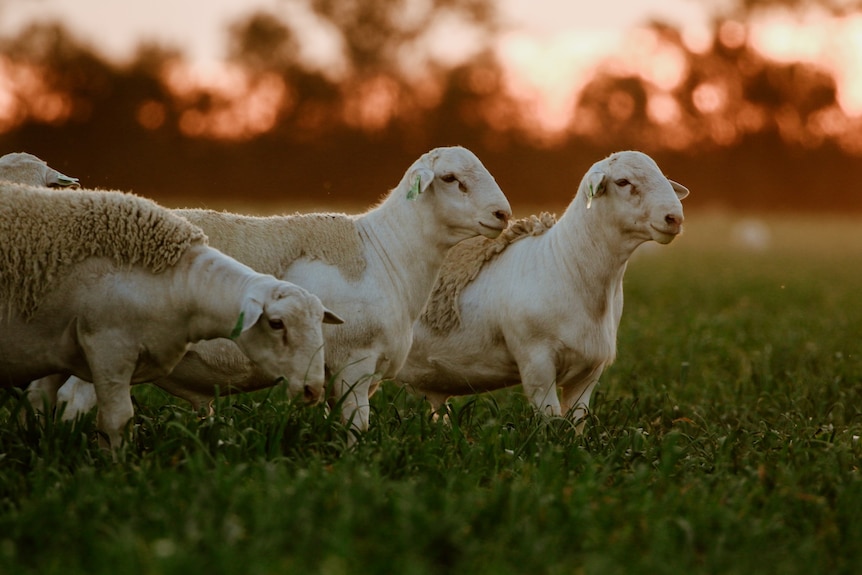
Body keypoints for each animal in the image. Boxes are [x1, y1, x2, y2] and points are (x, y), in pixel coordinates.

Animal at [3, 182, 342, 448]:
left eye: (318, 325)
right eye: (276, 324)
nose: (313, 389)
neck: (179, 281)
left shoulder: (66, 344)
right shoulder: (108, 347)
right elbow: (116, 420)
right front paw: (118, 468)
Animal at [52, 145, 512, 436]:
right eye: (451, 178)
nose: (503, 214)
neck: (387, 252)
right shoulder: (355, 362)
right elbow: (357, 430)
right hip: (111, 341)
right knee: (74, 401)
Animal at [396, 148, 688, 428]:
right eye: (623, 182)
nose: (674, 218)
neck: (566, 263)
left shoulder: (589, 372)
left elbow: (577, 424)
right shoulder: (536, 362)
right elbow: (551, 422)